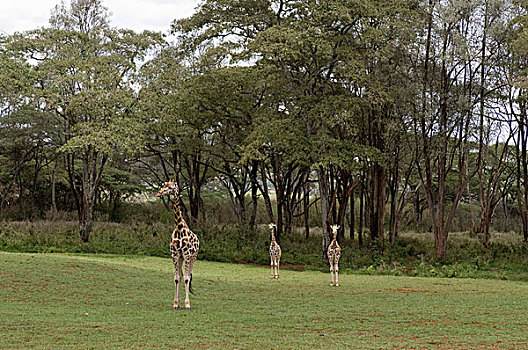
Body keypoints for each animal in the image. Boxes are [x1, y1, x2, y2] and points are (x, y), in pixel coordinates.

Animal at [157, 180, 200, 308]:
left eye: (171, 187)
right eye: (164, 185)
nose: (159, 193)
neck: (179, 227)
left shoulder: (187, 254)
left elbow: (186, 278)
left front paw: (187, 304)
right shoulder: (175, 254)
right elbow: (177, 278)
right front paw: (176, 303)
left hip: (193, 257)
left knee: (188, 276)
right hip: (181, 258)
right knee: (181, 276)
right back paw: (179, 301)